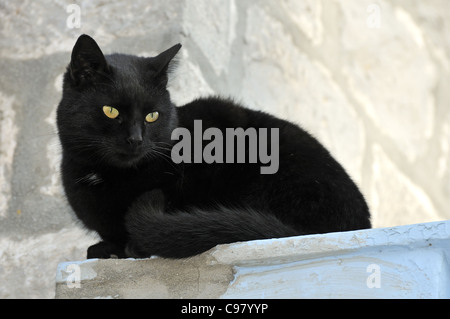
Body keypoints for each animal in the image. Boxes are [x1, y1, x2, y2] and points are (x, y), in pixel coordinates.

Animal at [57, 35, 370, 260]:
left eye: (152, 115)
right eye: (111, 111)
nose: (136, 139)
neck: (106, 175)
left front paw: (127, 247)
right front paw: (106, 247)